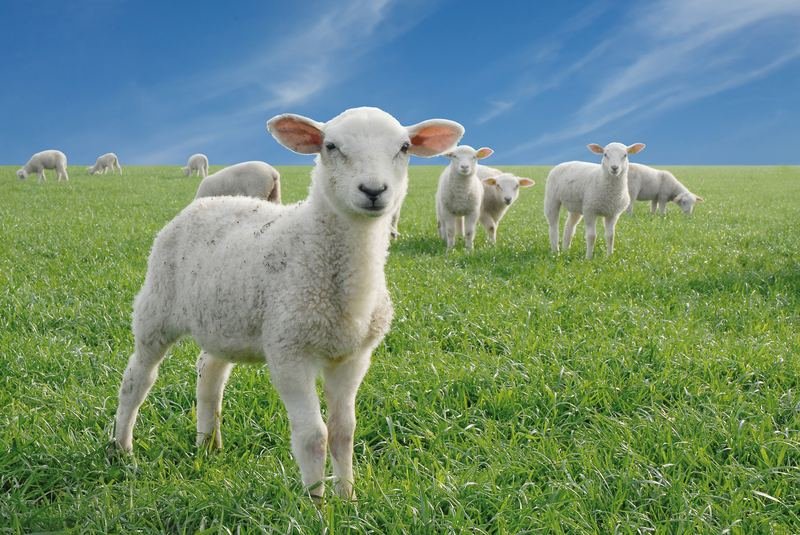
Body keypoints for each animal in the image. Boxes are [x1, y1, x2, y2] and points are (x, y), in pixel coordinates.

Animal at [110, 107, 464, 500]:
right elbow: (313, 436)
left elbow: (343, 431)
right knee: (137, 377)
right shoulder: (289, 352)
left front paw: (348, 497)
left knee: (209, 371)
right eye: (331, 146)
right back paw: (122, 447)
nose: (373, 190)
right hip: (157, 307)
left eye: (404, 148)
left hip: (224, 318)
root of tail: (203, 202)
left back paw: (208, 443)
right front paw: (316, 502)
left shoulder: (354, 357)